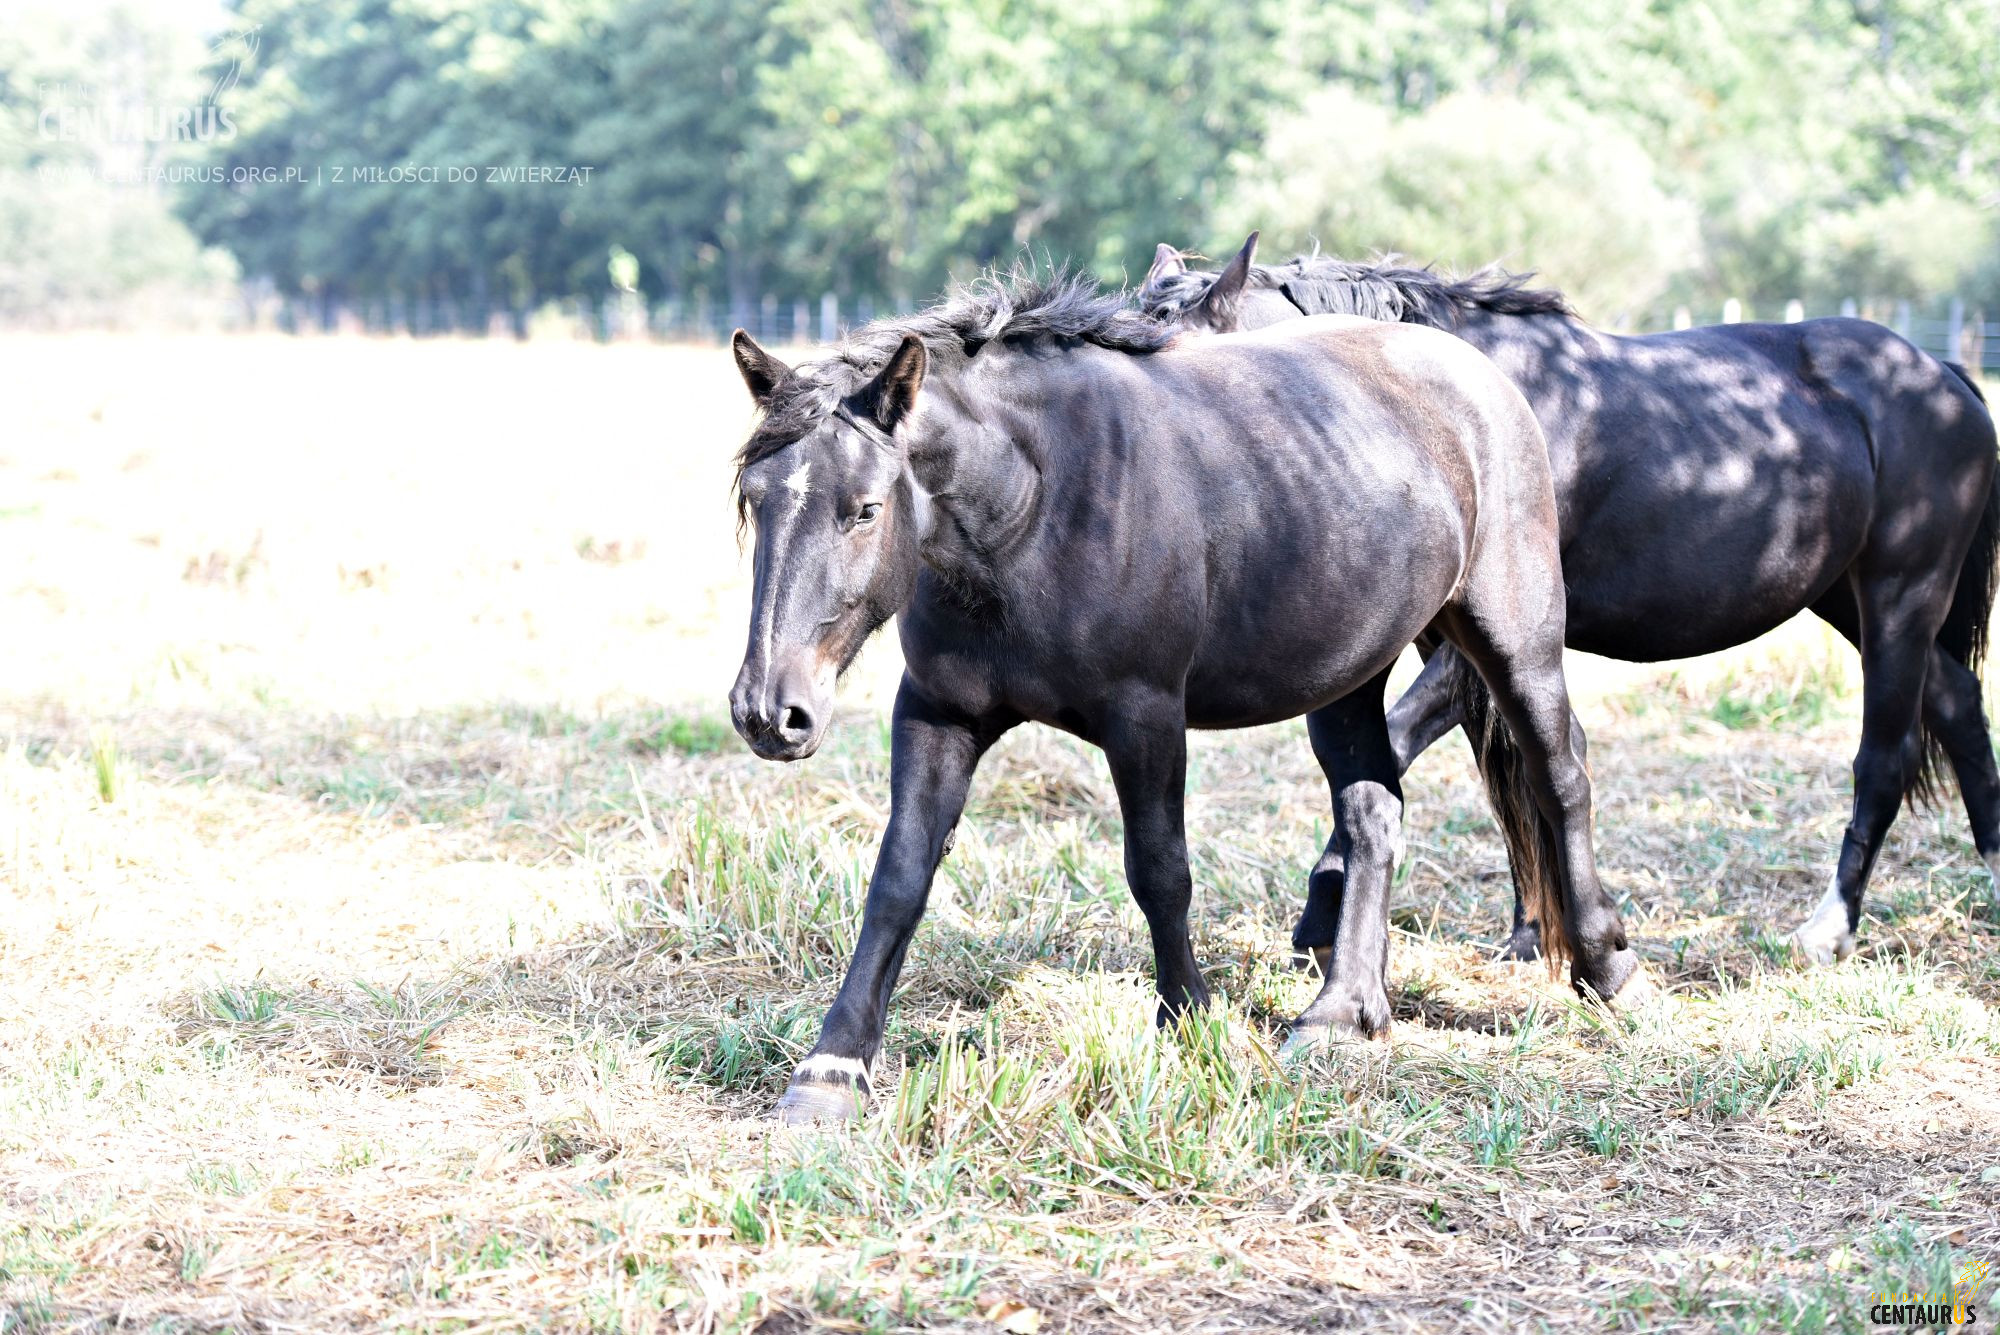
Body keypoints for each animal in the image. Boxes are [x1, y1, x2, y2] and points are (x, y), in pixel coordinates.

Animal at [728, 275, 1648, 1119]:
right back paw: (1342, 1013)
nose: (769, 712)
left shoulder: (1144, 717)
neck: (1033, 505)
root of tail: (1481, 376)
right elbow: (899, 876)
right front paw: (832, 1067)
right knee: (1372, 812)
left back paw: (1607, 964)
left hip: (1514, 638)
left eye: (864, 509)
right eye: (752, 500)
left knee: (1560, 777)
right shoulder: (937, 713)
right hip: (1349, 676)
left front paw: (1190, 1020)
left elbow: (1160, 871)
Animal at [1144, 236, 2000, 971]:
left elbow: (1438, 747)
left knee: (1884, 757)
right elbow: (1510, 769)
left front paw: (1323, 914)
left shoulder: (1480, 642)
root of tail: (1942, 374)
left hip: (1899, 597)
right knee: (1958, 703)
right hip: (1849, 601)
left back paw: (1828, 929)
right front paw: (1535, 933)